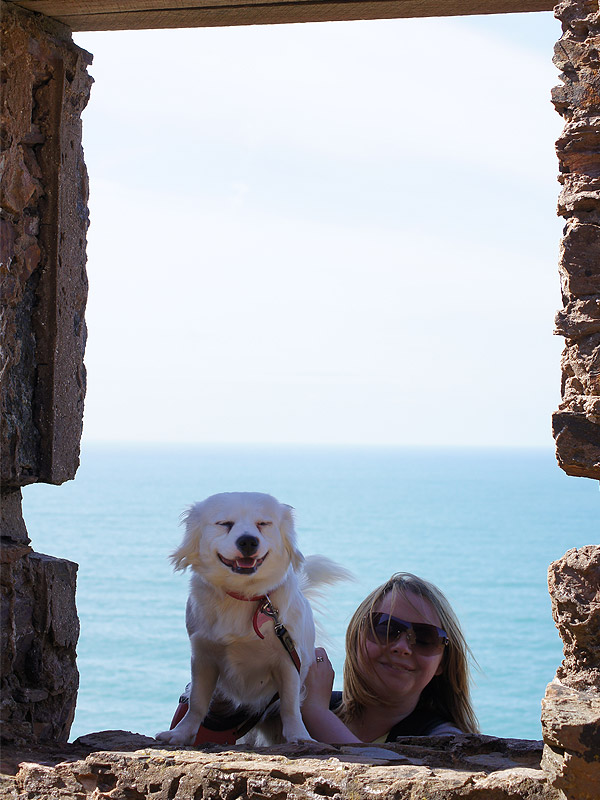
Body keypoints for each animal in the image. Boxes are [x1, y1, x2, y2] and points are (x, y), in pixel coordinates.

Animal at [156, 490, 352, 748]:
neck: (243, 596)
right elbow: (197, 702)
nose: (248, 540)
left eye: (263, 524)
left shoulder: (289, 661)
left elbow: (290, 705)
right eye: (225, 524)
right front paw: (181, 733)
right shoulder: (203, 658)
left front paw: (298, 736)